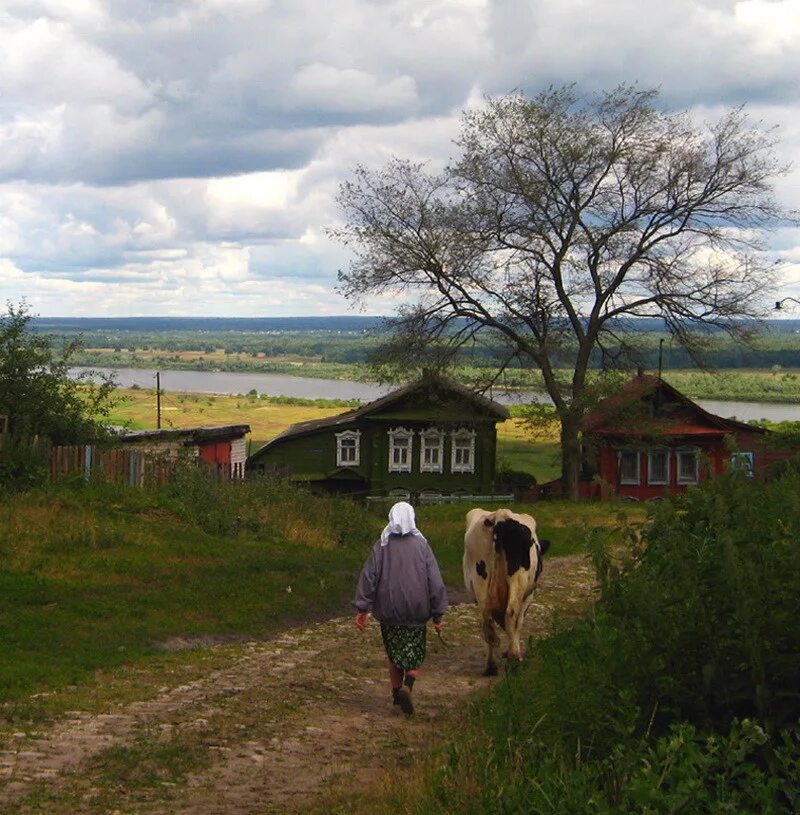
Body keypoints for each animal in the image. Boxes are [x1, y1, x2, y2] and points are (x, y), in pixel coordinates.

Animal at [462, 510, 552, 676]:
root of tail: (500, 516)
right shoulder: (528, 596)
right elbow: (518, 623)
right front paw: (515, 652)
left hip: (480, 583)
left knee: (488, 621)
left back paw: (491, 666)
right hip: (518, 579)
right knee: (511, 613)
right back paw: (513, 659)